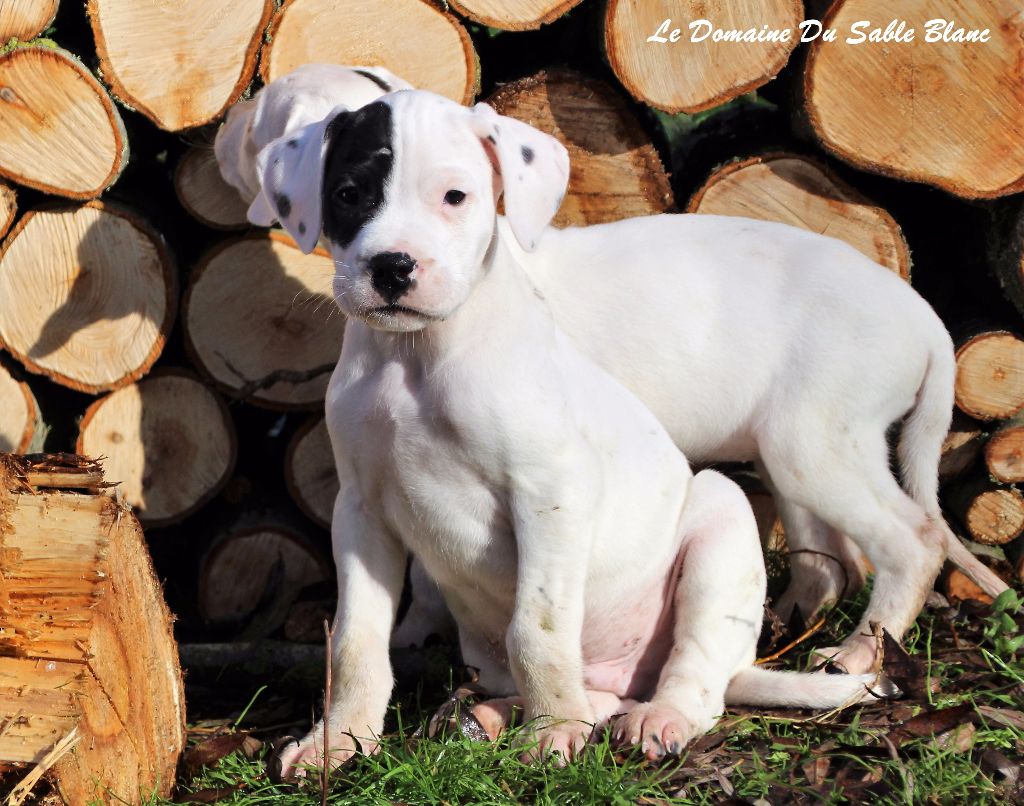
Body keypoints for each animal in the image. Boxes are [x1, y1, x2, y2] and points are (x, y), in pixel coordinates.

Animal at [247, 89, 914, 776]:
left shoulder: (550, 493)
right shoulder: (362, 512)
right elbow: (355, 642)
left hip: (723, 521)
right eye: (349, 194)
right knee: (600, 695)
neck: (416, 357)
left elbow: (537, 628)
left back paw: (656, 717)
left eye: (455, 197)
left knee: (699, 681)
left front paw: (555, 730)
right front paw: (337, 742)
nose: (392, 267)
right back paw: (496, 715)